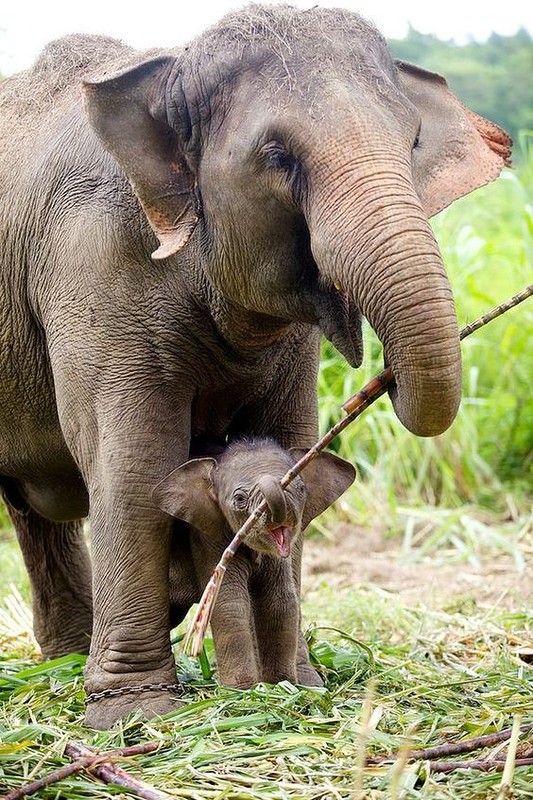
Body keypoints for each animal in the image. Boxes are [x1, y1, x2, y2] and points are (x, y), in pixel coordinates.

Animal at [152, 438, 356, 688]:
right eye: (240, 499)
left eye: (300, 489)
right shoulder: (209, 535)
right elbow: (229, 603)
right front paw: (242, 690)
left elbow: (280, 600)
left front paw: (281, 686)